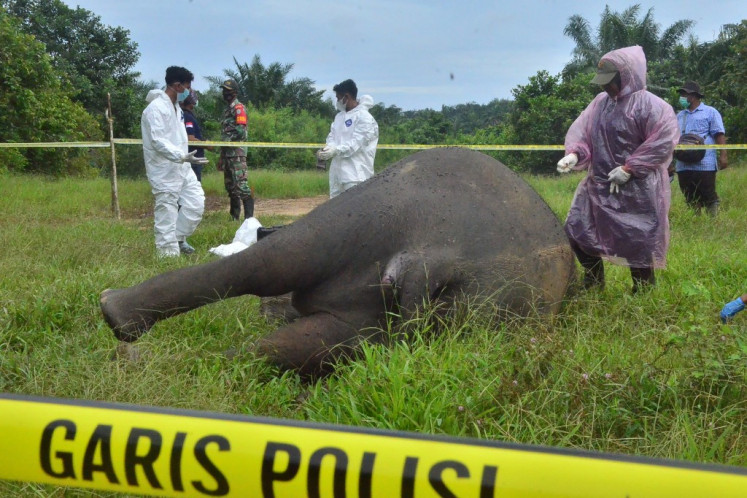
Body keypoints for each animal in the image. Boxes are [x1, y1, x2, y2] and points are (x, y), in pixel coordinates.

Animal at [101, 148, 575, 376]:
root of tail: (438, 256)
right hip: (384, 211)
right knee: (280, 266)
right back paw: (120, 326)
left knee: (286, 313)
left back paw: (126, 341)